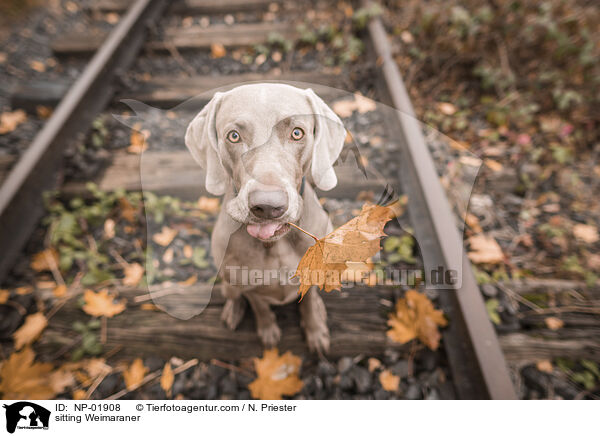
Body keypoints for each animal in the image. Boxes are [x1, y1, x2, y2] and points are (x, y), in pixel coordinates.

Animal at [184, 82, 346, 354]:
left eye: (297, 133)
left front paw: (315, 330)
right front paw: (268, 330)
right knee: (233, 295)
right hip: (228, 282)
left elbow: (308, 300)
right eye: (233, 136)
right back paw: (233, 311)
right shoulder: (248, 285)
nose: (268, 206)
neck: (274, 244)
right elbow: (259, 305)